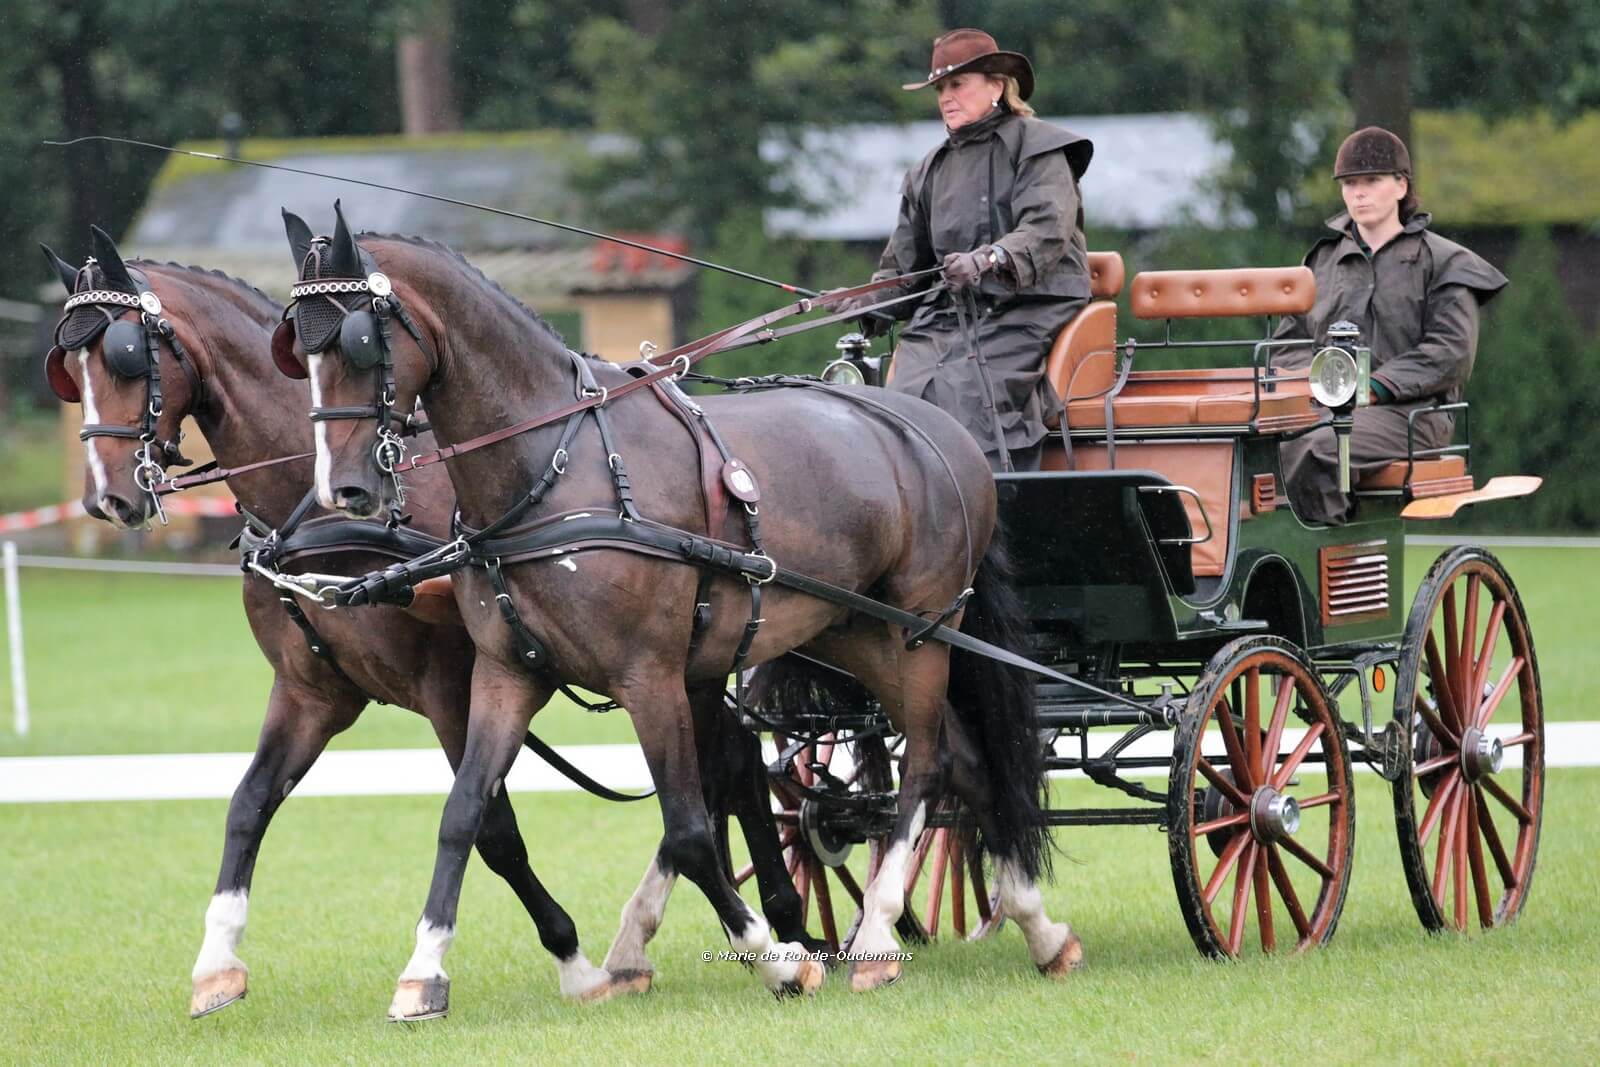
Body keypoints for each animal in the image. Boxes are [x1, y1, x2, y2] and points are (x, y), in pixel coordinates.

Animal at [40, 231, 812, 1017]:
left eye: (125, 354)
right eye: (67, 368)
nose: (107, 500)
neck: (316, 511)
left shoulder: (449, 688)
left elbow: (493, 830)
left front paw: (565, 960)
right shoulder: (311, 691)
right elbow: (249, 803)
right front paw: (217, 963)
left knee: (727, 770)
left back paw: (777, 926)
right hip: (696, 659)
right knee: (733, 765)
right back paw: (742, 927)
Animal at [281, 202, 1088, 1011]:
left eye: (359, 338)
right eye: (298, 347)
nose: (343, 489)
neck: (555, 465)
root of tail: (945, 433)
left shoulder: (651, 676)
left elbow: (692, 828)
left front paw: (779, 959)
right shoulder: (510, 673)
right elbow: (466, 814)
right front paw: (425, 972)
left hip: (920, 635)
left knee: (927, 762)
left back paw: (881, 933)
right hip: (853, 635)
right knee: (971, 760)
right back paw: (1040, 929)